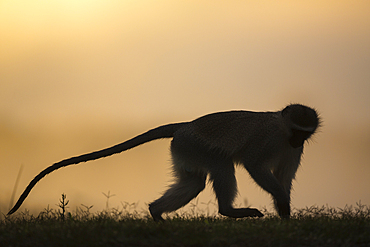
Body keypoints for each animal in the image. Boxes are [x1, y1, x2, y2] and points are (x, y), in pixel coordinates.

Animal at [7, 103, 320, 220]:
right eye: (296, 131)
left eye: (304, 134)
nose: (297, 141)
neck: (282, 133)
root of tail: (184, 126)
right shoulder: (266, 139)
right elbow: (255, 165)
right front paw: (282, 202)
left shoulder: (293, 151)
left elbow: (284, 175)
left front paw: (285, 212)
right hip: (195, 145)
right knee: (220, 166)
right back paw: (229, 211)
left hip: (184, 150)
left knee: (193, 182)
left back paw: (156, 213)